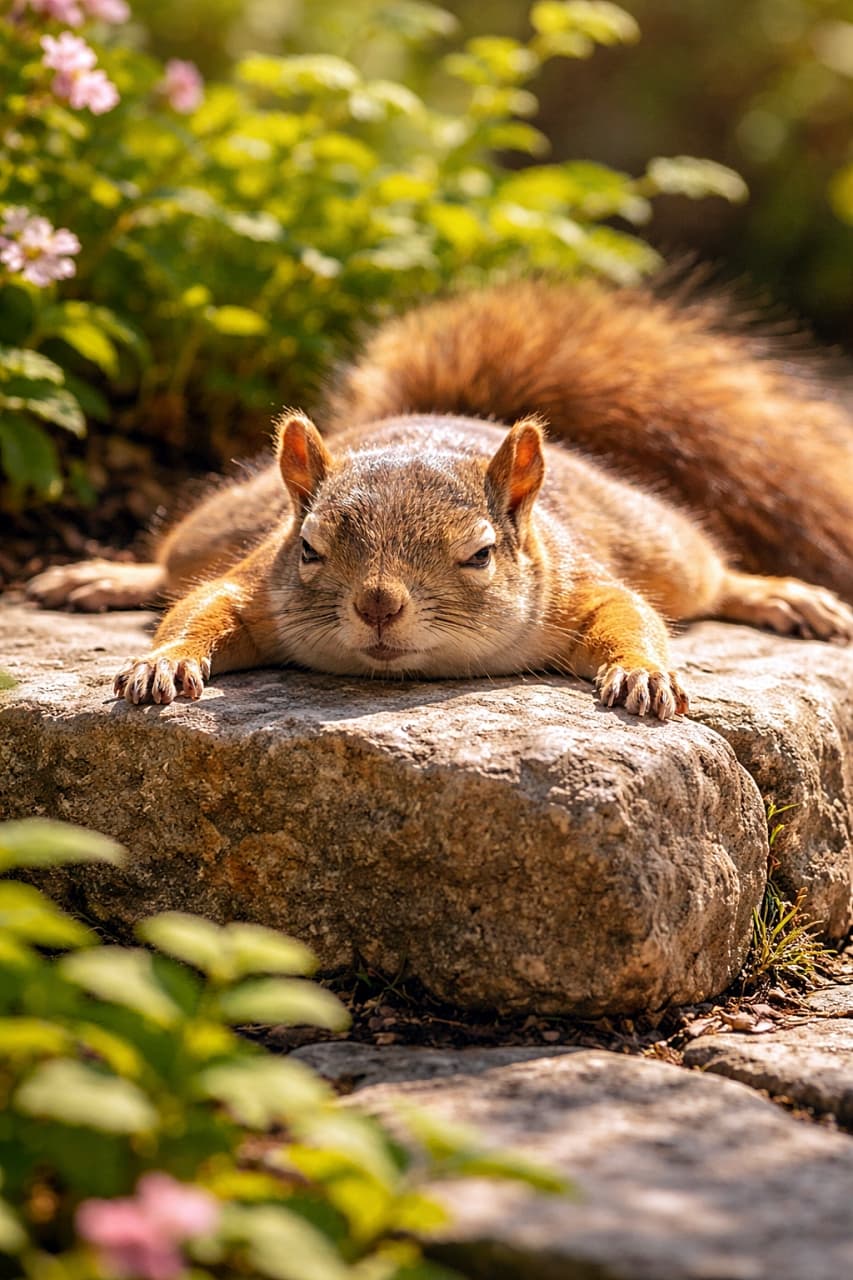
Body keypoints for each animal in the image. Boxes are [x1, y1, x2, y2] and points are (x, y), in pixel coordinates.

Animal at [26, 277, 853, 720]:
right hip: (214, 528)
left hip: (659, 545)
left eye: (480, 555)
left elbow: (629, 613)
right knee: (173, 571)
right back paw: (101, 576)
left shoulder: (577, 586)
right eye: (309, 548)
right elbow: (199, 607)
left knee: (710, 577)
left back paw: (782, 597)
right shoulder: (254, 582)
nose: (376, 604)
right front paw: (162, 664)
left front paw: (642, 673)